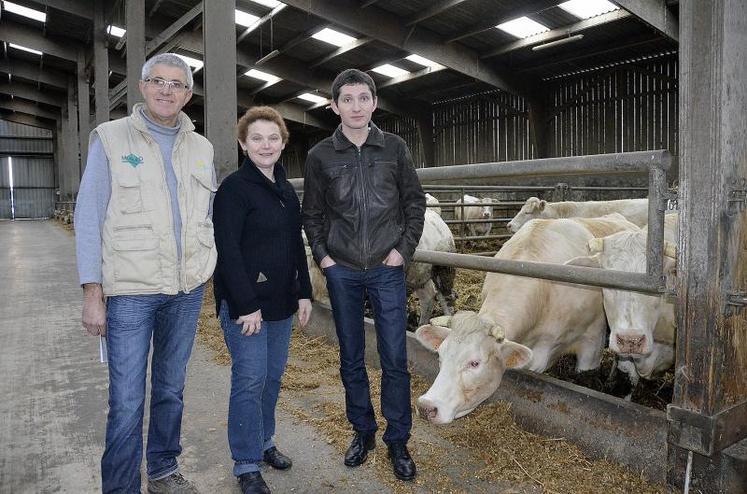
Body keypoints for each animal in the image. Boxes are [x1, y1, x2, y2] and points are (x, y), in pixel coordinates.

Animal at [302, 207, 456, 326]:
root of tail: (440, 221)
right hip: (419, 276)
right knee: (428, 298)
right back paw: (422, 324)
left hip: (443, 271)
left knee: (446, 299)